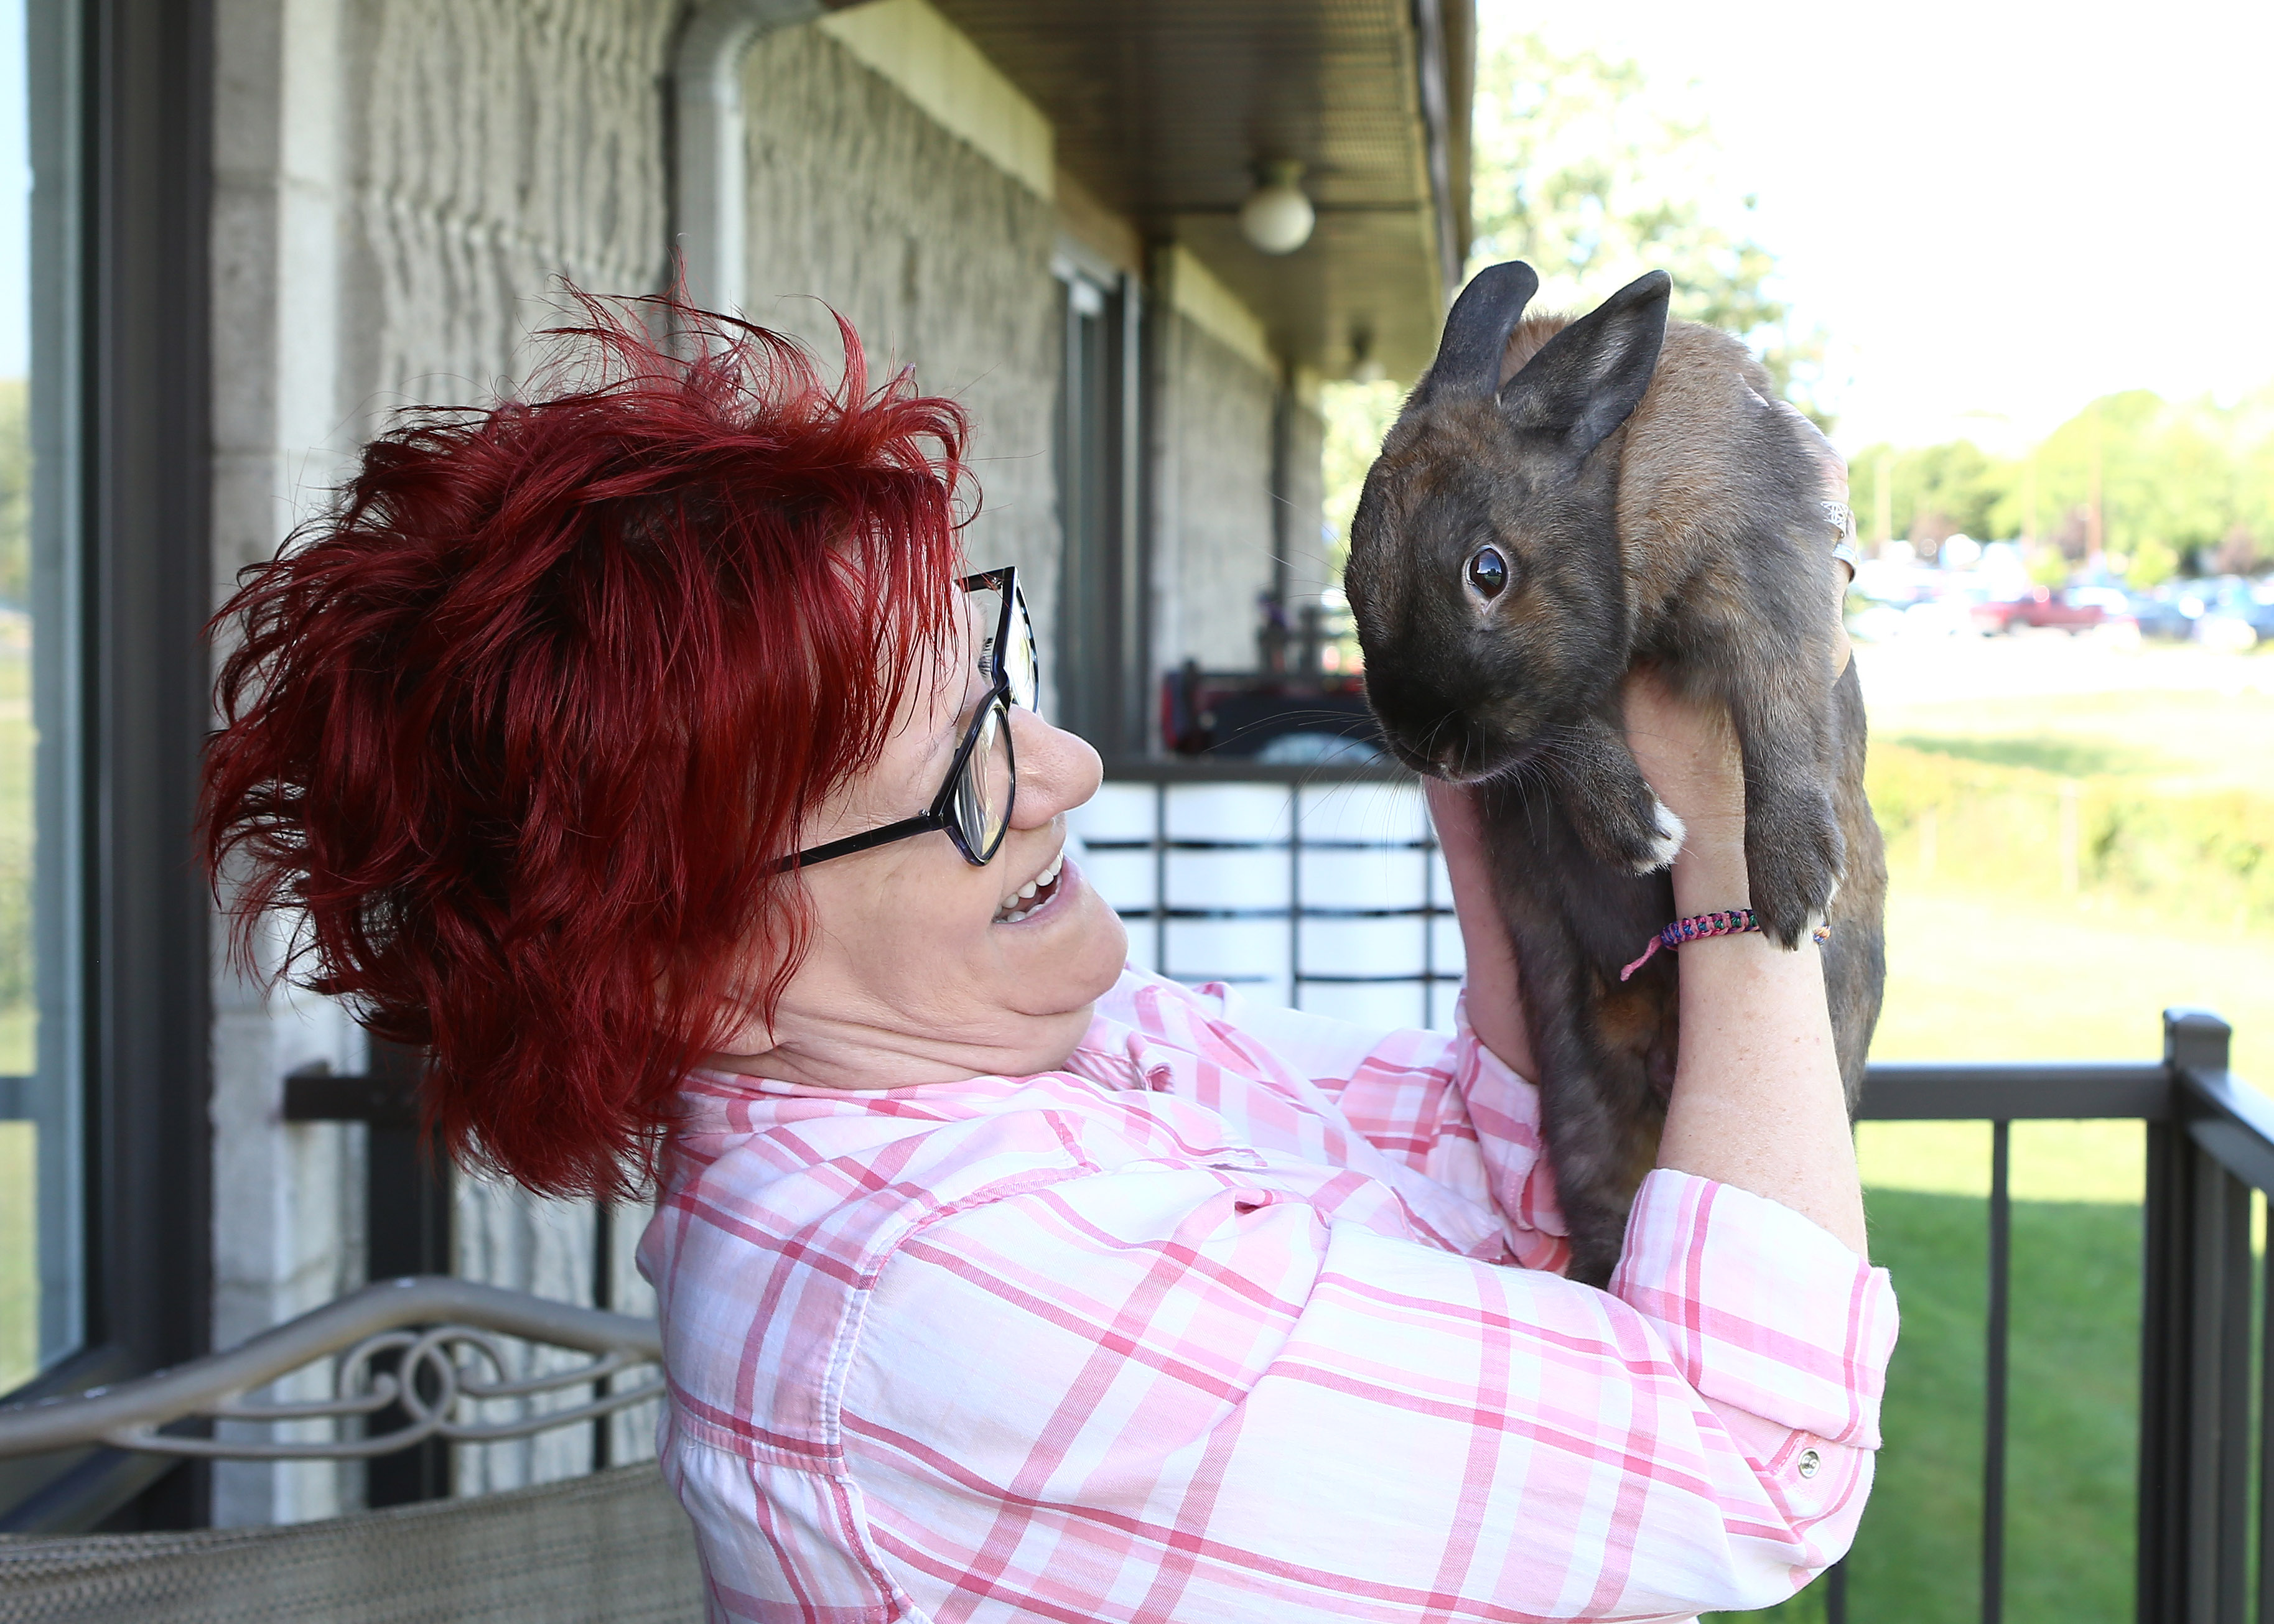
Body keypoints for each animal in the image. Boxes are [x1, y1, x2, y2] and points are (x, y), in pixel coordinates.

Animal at [1343, 260, 1887, 1286]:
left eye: (1486, 570)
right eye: (1352, 580)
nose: (1426, 749)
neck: (1611, 484)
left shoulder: (1760, 574)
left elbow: (1780, 713)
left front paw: (1792, 886)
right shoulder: (1557, 710)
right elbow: (1562, 742)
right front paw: (1638, 829)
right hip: (1578, 1106)